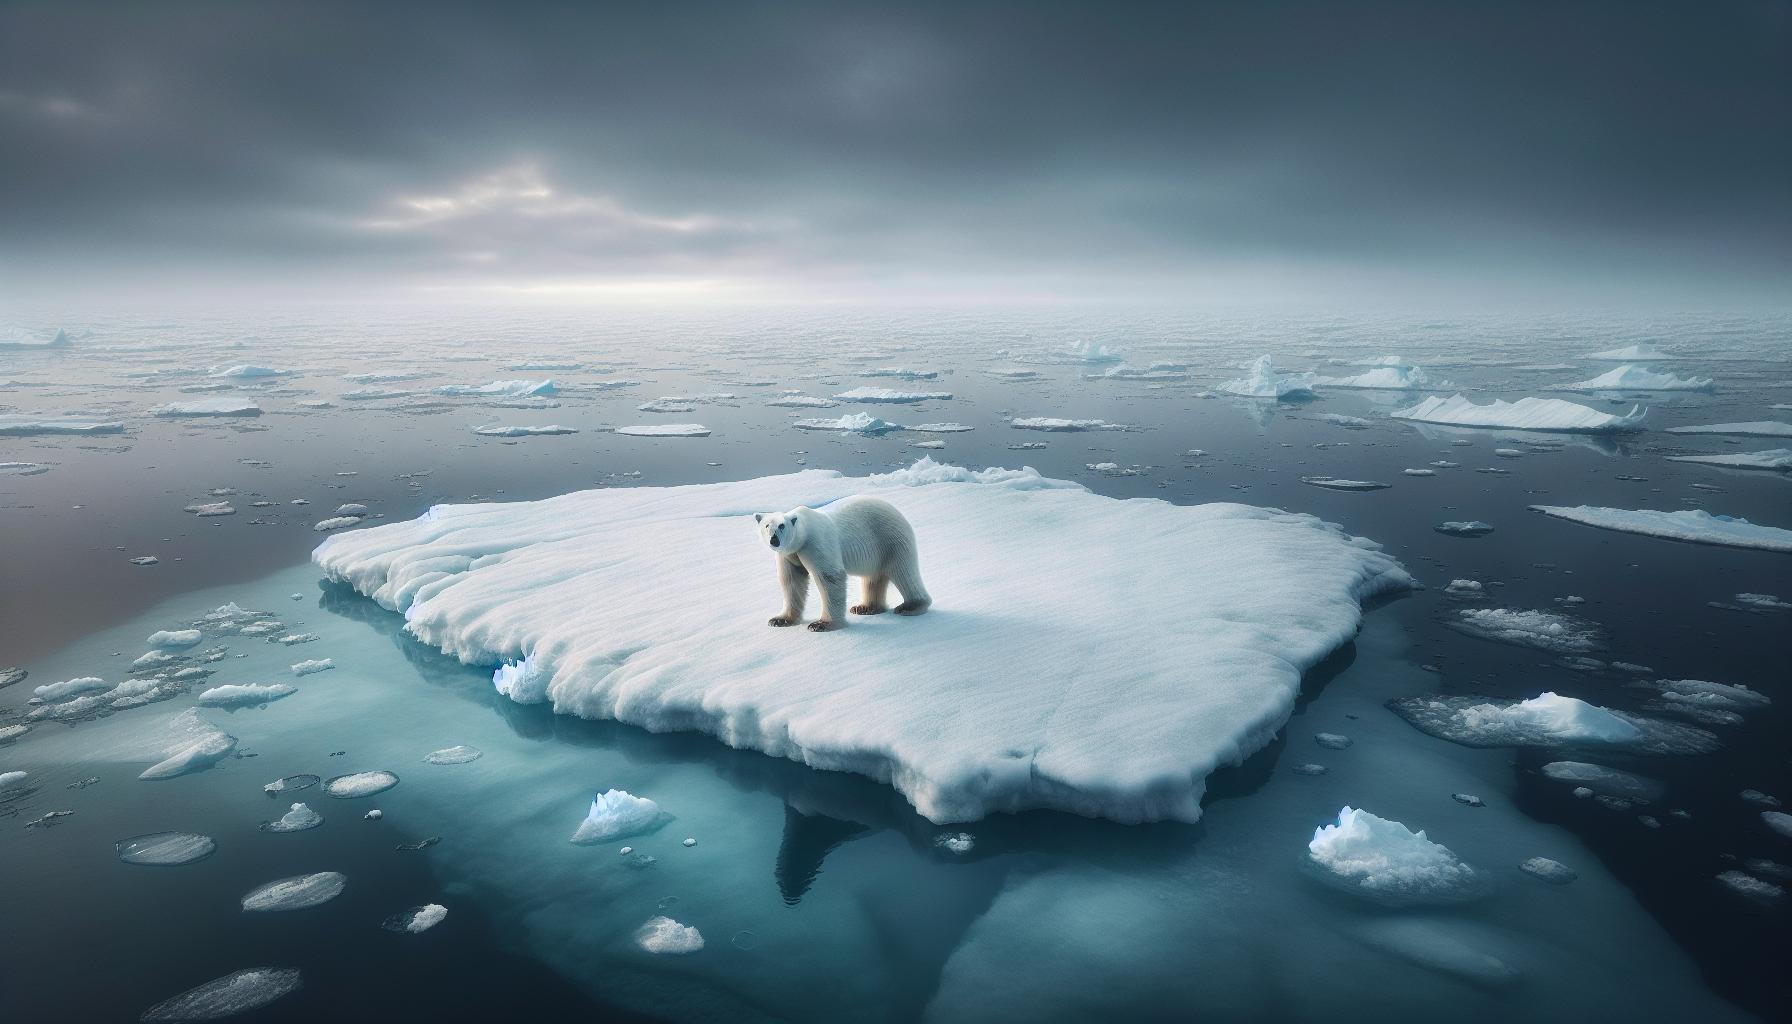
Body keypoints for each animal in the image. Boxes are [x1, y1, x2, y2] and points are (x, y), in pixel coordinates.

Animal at [755, 497, 931, 632]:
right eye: (767, 525)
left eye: (782, 526)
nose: (774, 540)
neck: (803, 536)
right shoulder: (788, 554)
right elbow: (791, 581)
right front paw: (779, 620)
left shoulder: (816, 544)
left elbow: (830, 576)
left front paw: (821, 624)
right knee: (873, 577)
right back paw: (866, 607)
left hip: (890, 539)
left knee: (903, 571)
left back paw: (911, 606)